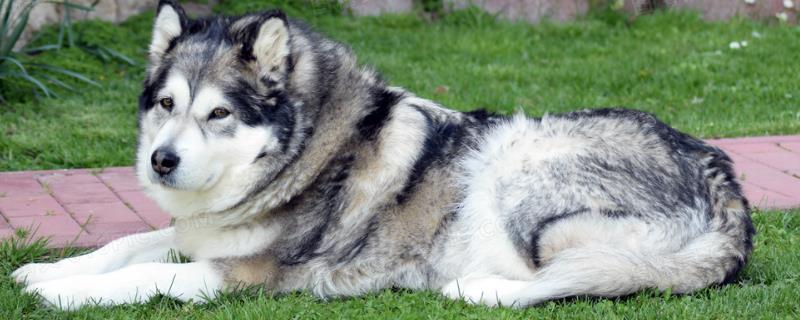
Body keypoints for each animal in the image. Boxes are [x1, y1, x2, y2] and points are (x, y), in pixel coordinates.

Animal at [10, 0, 756, 310]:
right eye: (166, 104)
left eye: (218, 114)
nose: (160, 162)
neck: (304, 155)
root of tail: (724, 179)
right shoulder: (201, 233)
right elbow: (128, 244)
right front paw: (47, 271)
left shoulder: (249, 274)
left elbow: (145, 274)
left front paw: (65, 294)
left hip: (516, 172)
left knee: (579, 278)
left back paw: (475, 289)